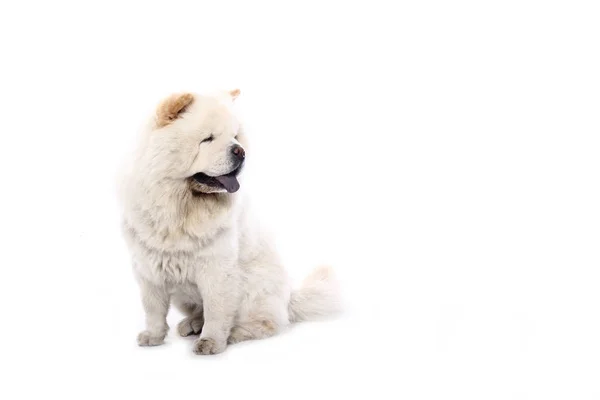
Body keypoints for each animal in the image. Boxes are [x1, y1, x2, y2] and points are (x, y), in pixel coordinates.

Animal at [119, 89, 340, 354]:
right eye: (208, 139)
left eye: (235, 137)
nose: (240, 151)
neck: (180, 208)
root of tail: (289, 297)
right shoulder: (147, 268)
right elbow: (153, 309)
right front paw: (153, 336)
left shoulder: (217, 269)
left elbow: (216, 311)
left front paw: (211, 342)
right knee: (200, 311)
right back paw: (192, 324)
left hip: (255, 287)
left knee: (266, 322)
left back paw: (234, 332)